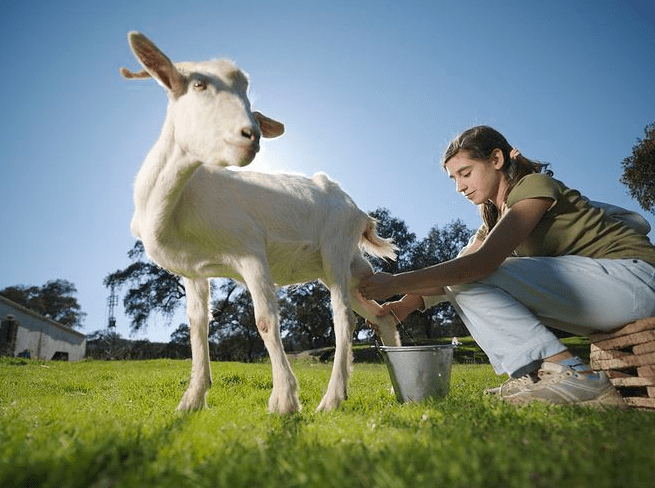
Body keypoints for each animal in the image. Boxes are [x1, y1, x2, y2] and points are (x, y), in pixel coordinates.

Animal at [120, 31, 402, 412]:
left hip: (336, 249)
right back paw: (393, 388)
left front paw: (284, 400)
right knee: (381, 313)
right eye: (199, 84)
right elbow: (197, 328)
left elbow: (265, 321)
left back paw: (331, 399)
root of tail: (358, 211)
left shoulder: (250, 252)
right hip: (347, 268)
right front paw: (191, 401)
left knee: (344, 318)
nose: (250, 135)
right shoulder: (193, 273)